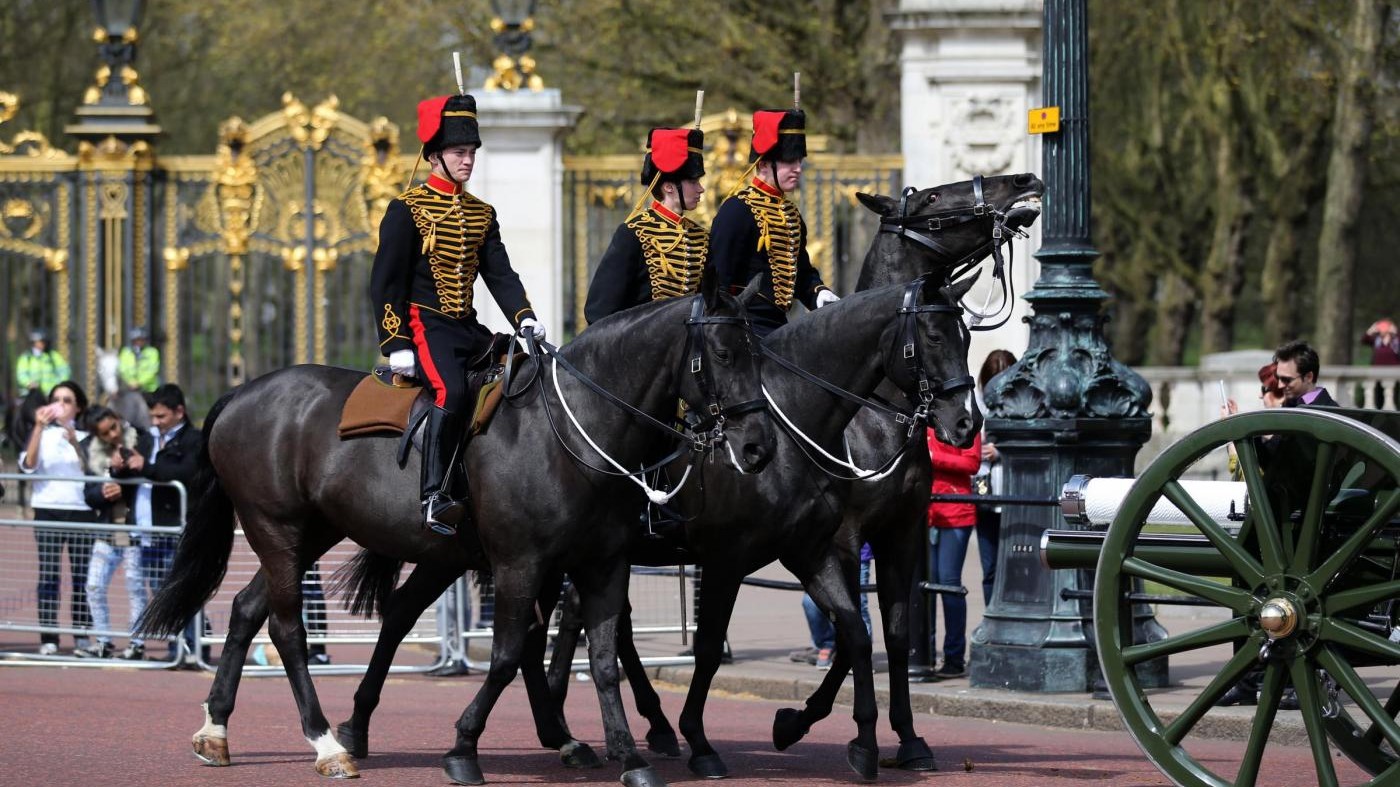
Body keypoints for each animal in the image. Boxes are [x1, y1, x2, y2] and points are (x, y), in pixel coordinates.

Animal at [142, 278, 778, 778]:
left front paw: (627, 756)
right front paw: (464, 747)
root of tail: (242, 391)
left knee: (248, 609)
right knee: (286, 626)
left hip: (311, 533)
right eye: (724, 353)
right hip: (276, 528)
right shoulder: (521, 564)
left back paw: (218, 732)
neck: (576, 430)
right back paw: (325, 743)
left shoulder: (601, 564)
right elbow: (507, 654)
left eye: (761, 356)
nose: (758, 448)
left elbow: (599, 660)